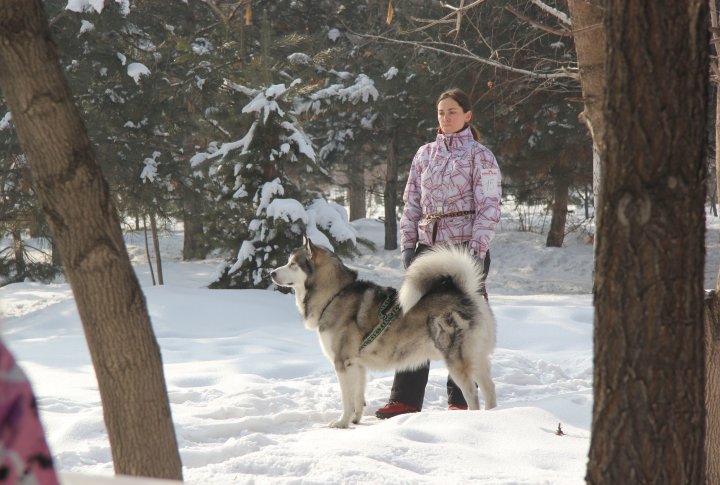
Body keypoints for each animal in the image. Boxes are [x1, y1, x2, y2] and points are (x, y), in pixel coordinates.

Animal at [270, 236, 496, 426]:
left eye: (293, 264)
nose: (271, 273)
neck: (334, 295)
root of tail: (465, 294)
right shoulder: (358, 365)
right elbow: (358, 397)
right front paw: (355, 420)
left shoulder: (342, 363)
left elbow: (346, 399)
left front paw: (341, 423)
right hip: (478, 359)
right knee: (490, 390)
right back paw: (492, 417)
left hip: (456, 361)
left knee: (472, 394)